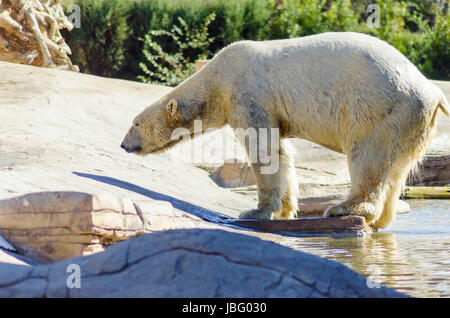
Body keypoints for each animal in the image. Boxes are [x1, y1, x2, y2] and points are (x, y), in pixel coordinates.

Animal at [121, 31, 448, 229]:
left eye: (135, 123)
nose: (124, 145)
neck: (218, 81)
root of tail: (434, 93)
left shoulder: (248, 95)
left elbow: (262, 148)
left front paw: (255, 212)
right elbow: (281, 152)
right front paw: (287, 210)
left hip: (381, 107)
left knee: (367, 157)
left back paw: (345, 208)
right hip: (411, 123)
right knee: (396, 170)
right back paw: (381, 220)